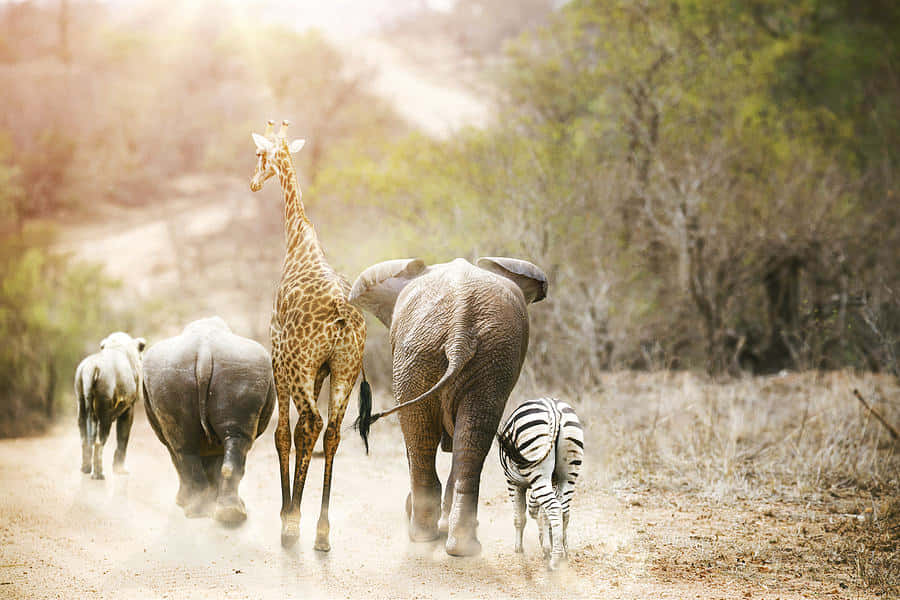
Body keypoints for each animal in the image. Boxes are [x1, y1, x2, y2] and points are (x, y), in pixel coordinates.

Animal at [74, 332, 146, 480]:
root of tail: (91, 369)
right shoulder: (129, 408)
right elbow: (123, 439)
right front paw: (120, 469)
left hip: (82, 405)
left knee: (85, 439)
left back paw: (85, 469)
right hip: (105, 413)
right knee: (99, 442)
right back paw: (99, 474)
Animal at [142, 317, 275, 524]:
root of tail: (204, 352)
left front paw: (185, 501)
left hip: (181, 373)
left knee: (183, 447)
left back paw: (199, 512)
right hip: (238, 369)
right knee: (228, 440)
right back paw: (229, 514)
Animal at [350, 257, 548, 556]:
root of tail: (459, 327)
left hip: (427, 355)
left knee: (426, 435)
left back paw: (425, 535)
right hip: (462, 356)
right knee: (465, 435)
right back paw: (457, 546)